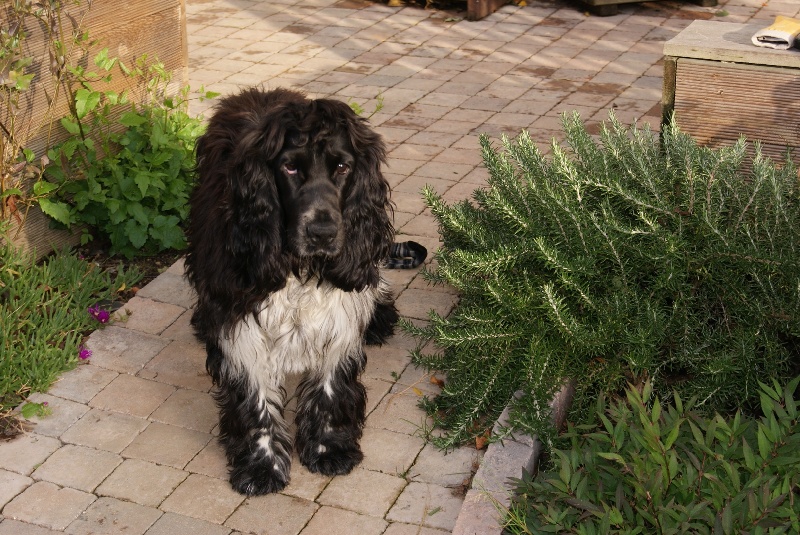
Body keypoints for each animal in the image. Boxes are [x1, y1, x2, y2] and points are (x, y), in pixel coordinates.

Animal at [184, 88, 398, 496]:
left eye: (343, 168)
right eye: (290, 169)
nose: (323, 233)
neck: (299, 268)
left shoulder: (339, 316)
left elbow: (330, 384)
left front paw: (329, 448)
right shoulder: (241, 321)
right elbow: (256, 398)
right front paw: (261, 465)